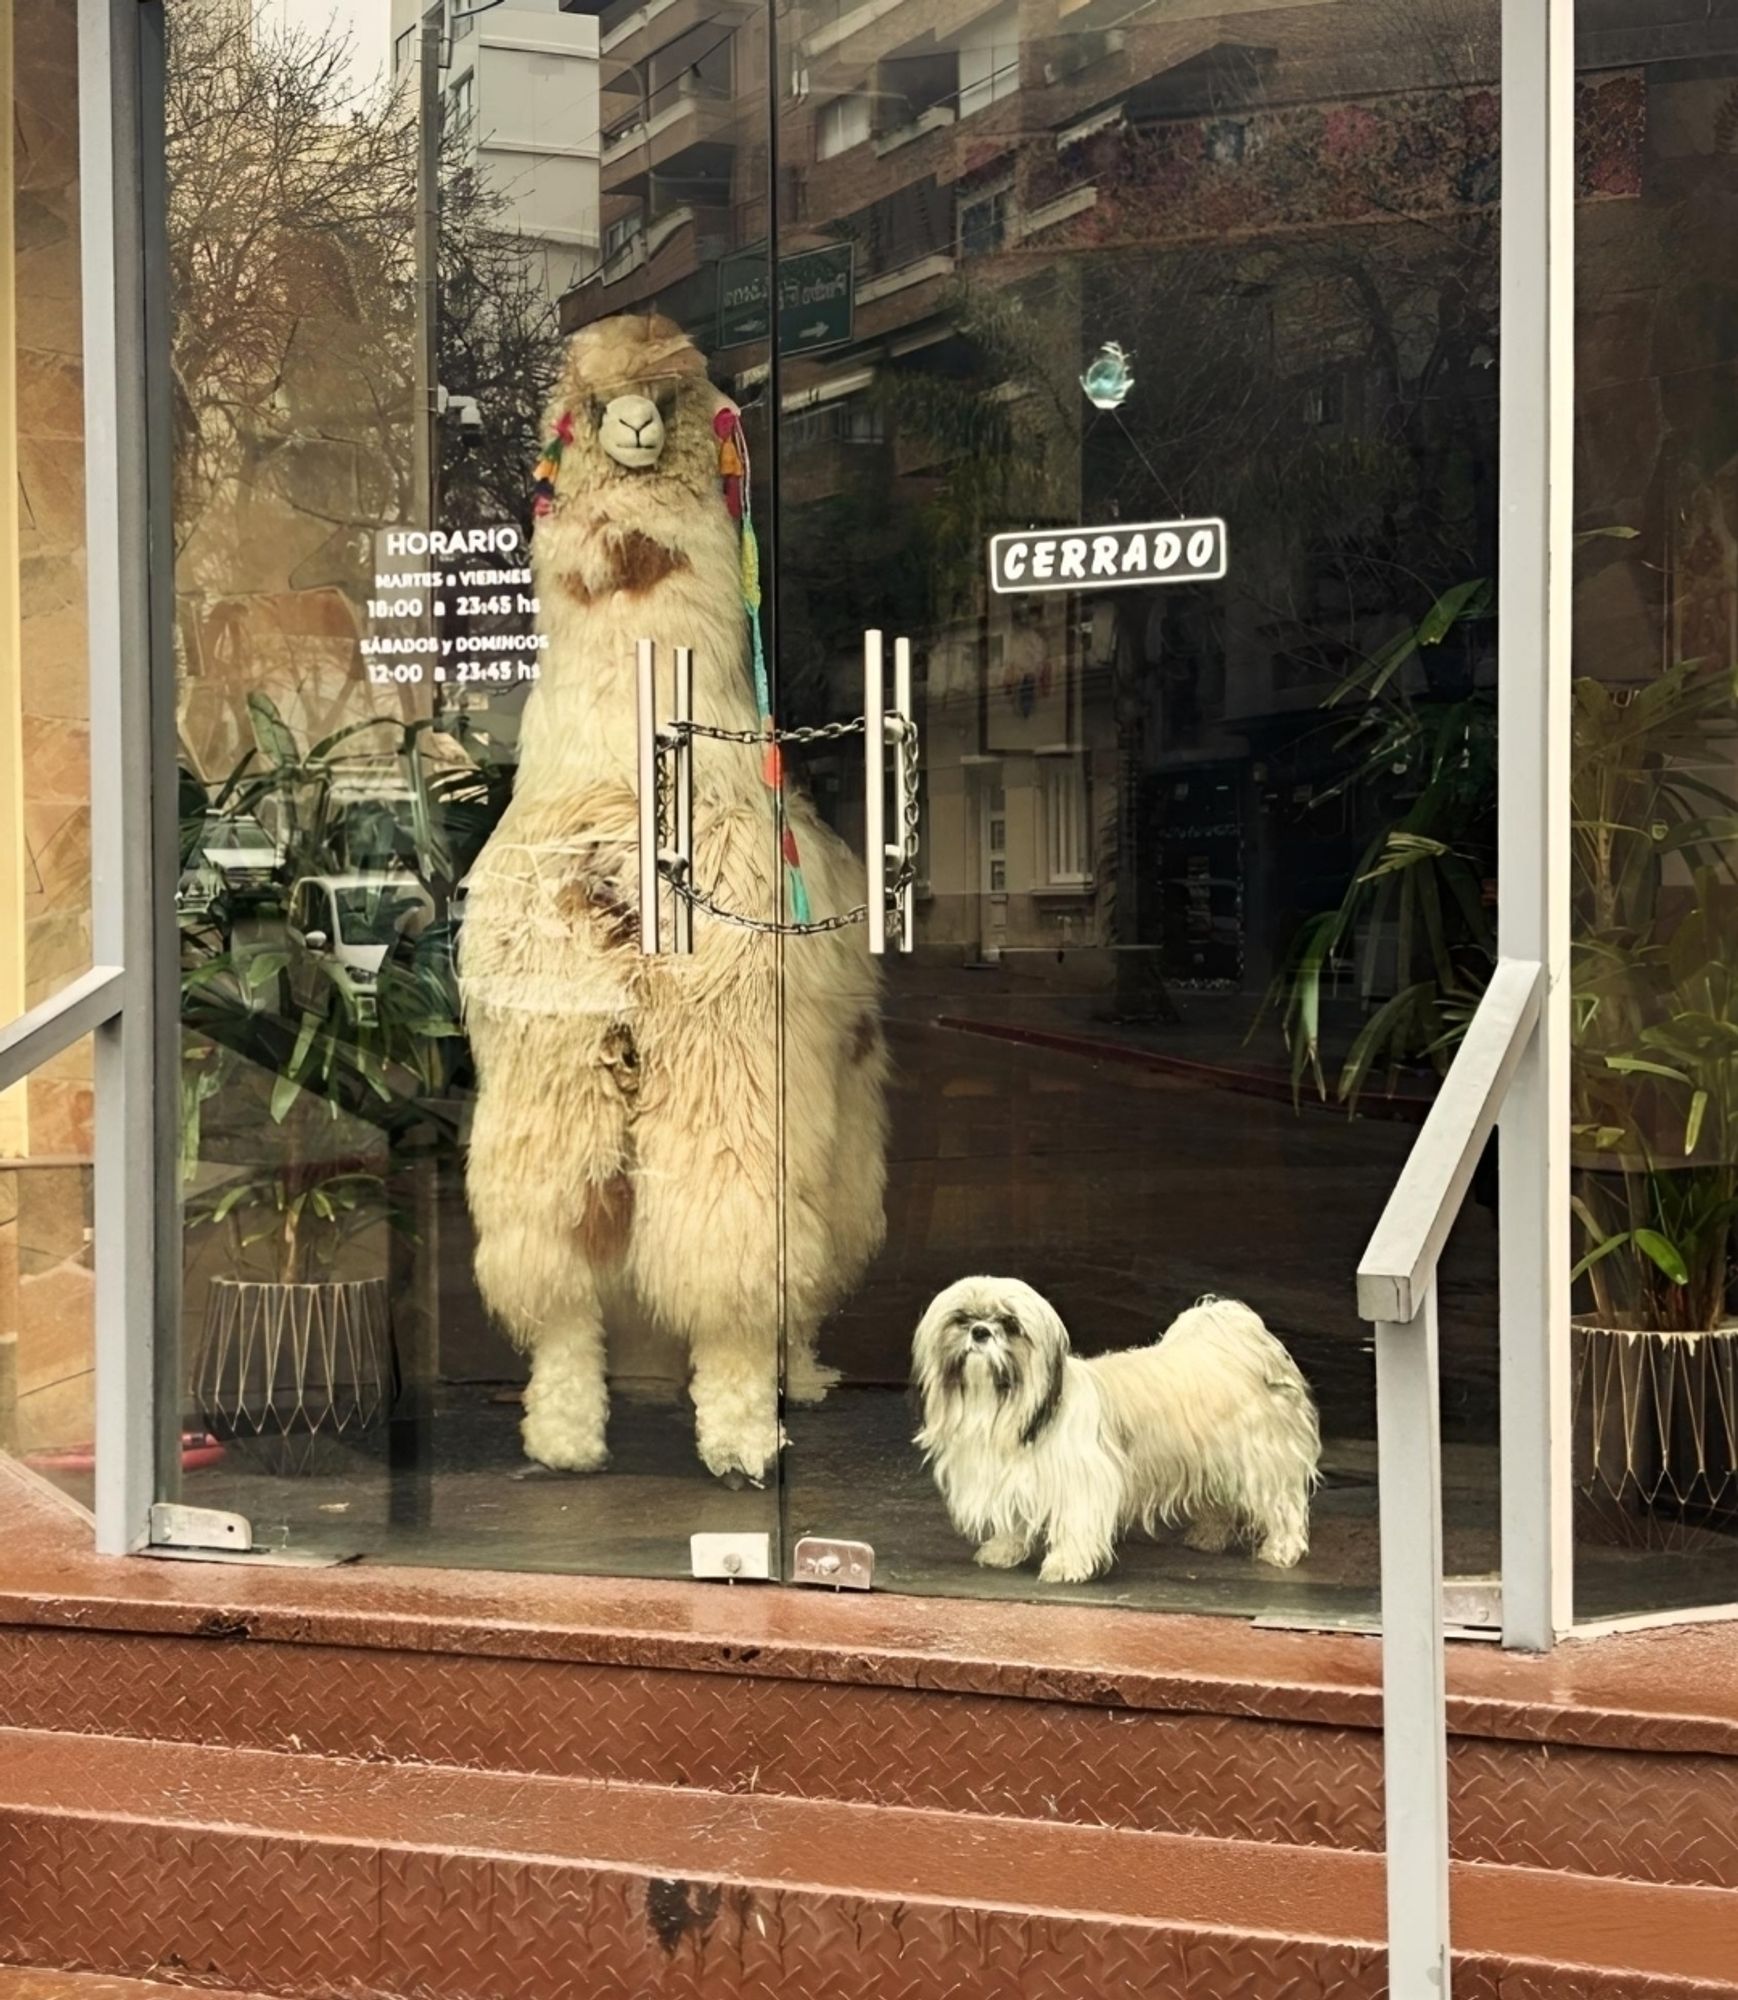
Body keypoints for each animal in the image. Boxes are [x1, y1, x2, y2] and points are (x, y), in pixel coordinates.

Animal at [908, 1272, 1312, 1584]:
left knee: (1283, 1507)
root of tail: (1239, 1352)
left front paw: (1066, 1565)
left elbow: (1076, 1524)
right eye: (962, 1318)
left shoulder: (1084, 1480)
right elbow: (1012, 1521)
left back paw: (1282, 1549)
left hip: (1260, 1463)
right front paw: (1003, 1549)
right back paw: (1207, 1537)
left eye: (1010, 1325)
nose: (979, 1332)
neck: (1002, 1405)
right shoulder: (1010, 1477)